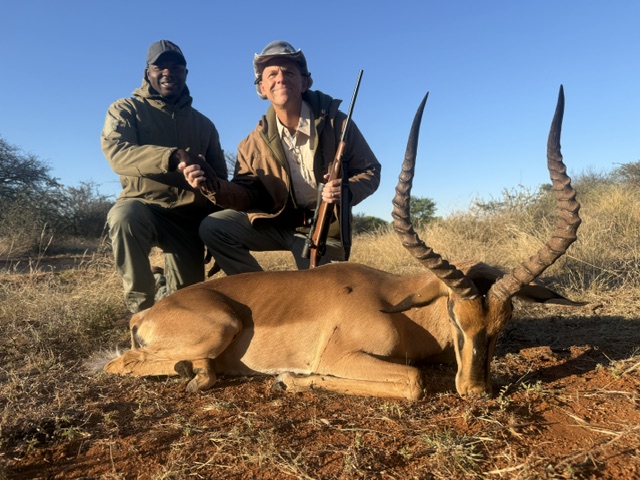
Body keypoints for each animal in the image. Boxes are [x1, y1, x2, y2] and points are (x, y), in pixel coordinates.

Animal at [103, 86, 583, 400]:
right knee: (119, 363)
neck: (396, 304)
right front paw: (289, 378)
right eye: (454, 316)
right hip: (218, 328)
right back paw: (194, 372)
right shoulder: (340, 355)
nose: (476, 391)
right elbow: (413, 382)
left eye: (502, 324)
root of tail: (148, 313)